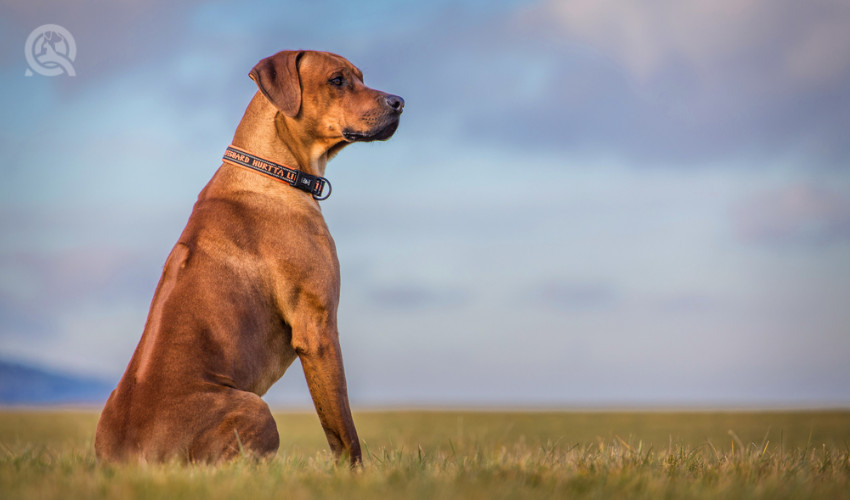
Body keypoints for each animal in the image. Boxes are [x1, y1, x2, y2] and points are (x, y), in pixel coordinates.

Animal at [94, 50, 406, 464]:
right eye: (337, 80)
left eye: (361, 77)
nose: (399, 102)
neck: (273, 171)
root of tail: (131, 456)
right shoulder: (317, 327)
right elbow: (342, 427)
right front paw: (355, 473)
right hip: (254, 407)